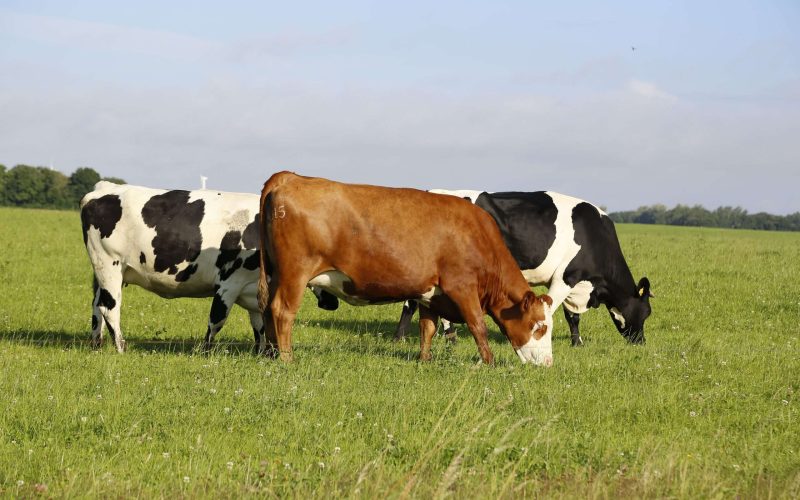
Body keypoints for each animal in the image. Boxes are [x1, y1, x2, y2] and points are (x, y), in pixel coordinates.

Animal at [80, 181, 339, 353]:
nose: (333, 304)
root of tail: (106, 188)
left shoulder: (253, 288)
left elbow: (259, 325)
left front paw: (261, 352)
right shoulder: (230, 282)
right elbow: (217, 319)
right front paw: (205, 351)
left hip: (108, 272)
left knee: (96, 306)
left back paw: (96, 344)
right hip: (110, 265)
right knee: (109, 307)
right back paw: (120, 347)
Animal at [257, 171, 555, 366]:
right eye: (539, 325)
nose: (548, 362)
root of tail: (291, 177)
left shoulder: (430, 293)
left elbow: (428, 328)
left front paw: (425, 359)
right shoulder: (462, 286)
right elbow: (478, 325)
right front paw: (489, 362)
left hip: (276, 274)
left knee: (268, 309)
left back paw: (270, 353)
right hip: (295, 273)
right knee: (282, 311)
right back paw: (287, 359)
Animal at [394, 190, 653, 346]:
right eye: (647, 312)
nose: (641, 342)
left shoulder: (569, 280)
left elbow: (572, 317)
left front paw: (576, 343)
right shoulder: (566, 277)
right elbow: (551, 310)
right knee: (410, 303)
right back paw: (404, 338)